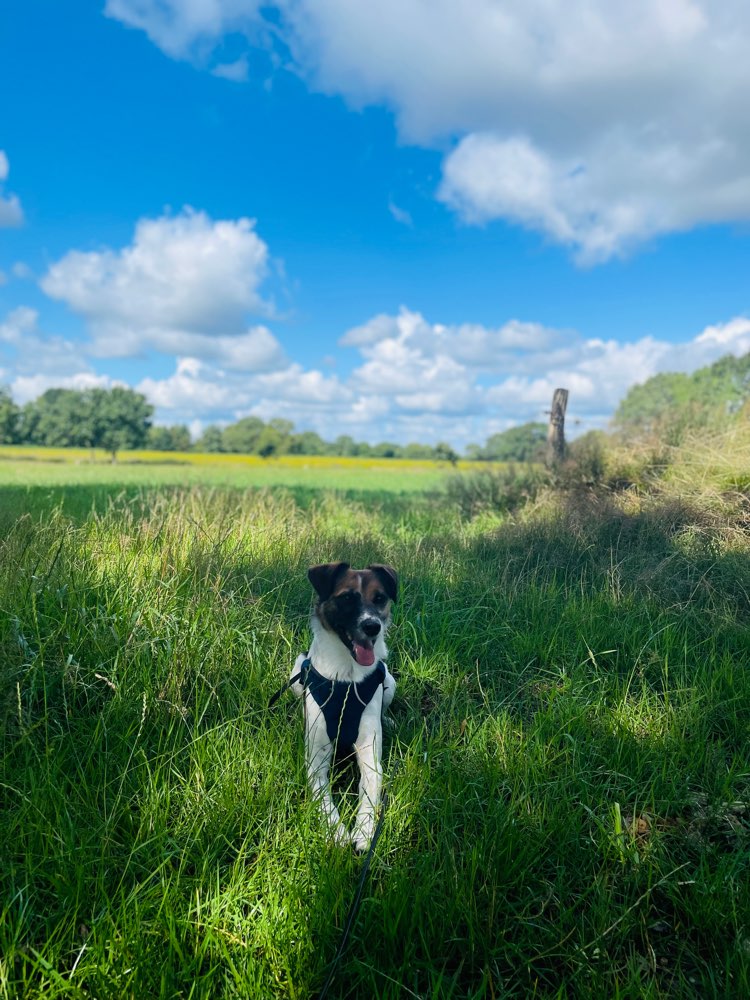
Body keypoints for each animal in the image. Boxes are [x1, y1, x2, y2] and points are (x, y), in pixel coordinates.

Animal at [292, 564, 400, 852]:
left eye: (379, 598)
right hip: (296, 668)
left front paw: (363, 831)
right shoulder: (316, 761)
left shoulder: (370, 756)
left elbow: (370, 791)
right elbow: (323, 798)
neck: (347, 677)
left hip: (389, 680)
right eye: (348, 598)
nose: (372, 626)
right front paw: (337, 832)